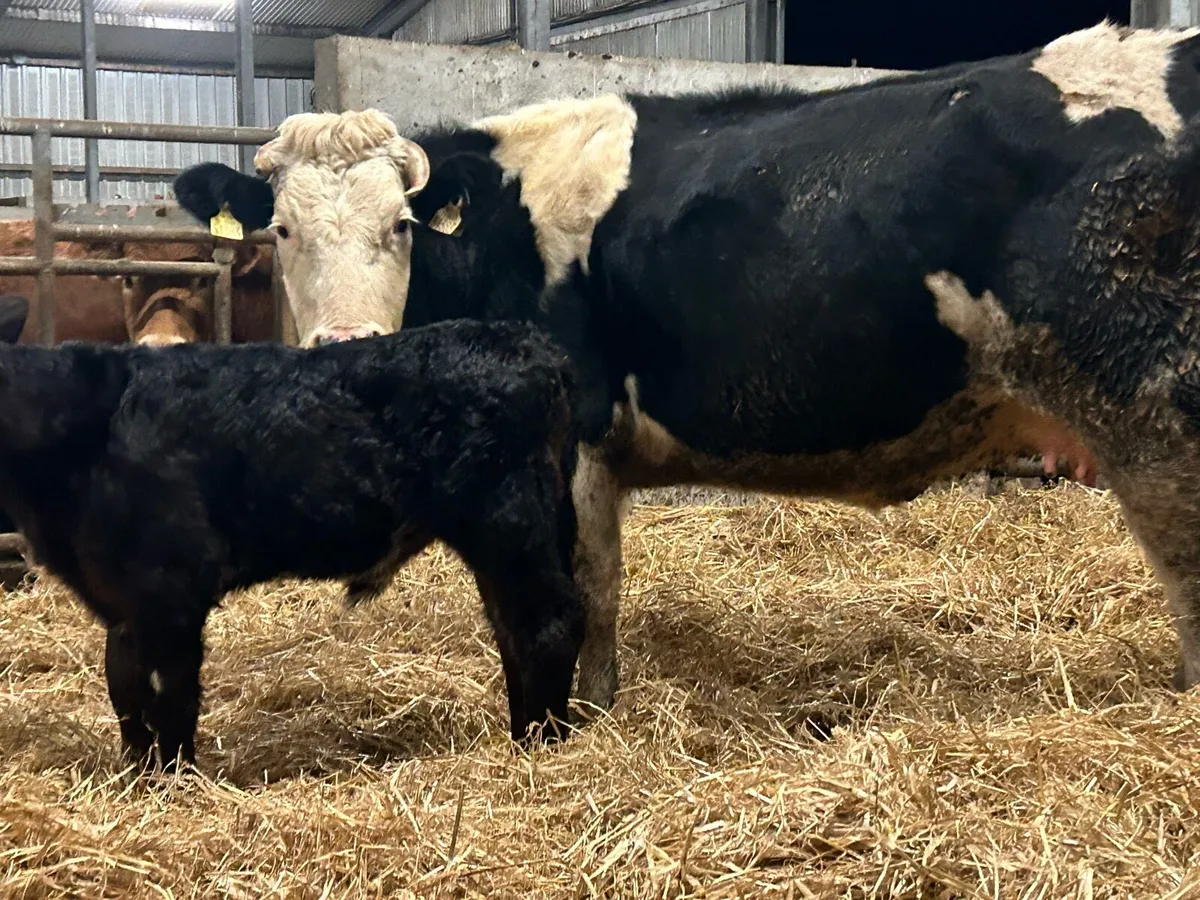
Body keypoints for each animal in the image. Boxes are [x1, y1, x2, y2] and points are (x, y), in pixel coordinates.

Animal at [0, 319, 583, 771]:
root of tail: (536, 346)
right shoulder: (122, 599)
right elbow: (125, 689)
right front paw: (137, 777)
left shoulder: (170, 590)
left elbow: (171, 695)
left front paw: (176, 779)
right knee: (512, 630)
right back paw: (522, 734)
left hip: (509, 519)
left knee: (549, 624)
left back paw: (543, 744)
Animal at [174, 21, 1200, 712]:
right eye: (280, 229)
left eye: (401, 226)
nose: (347, 345)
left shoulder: (575, 439)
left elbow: (585, 590)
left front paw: (584, 715)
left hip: (1157, 410)